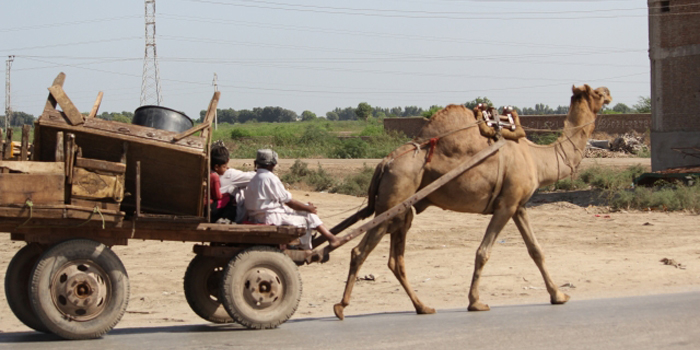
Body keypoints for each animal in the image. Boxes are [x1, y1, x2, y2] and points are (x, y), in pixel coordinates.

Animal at [330, 83, 608, 318]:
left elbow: (536, 250)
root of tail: (385, 163)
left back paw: (423, 307)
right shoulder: (506, 205)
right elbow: (483, 252)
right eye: (596, 92)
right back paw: (341, 307)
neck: (538, 159)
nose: (608, 92)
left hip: (401, 211)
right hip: (392, 201)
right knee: (359, 250)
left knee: (395, 260)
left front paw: (558, 295)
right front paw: (475, 302)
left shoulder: (518, 205)